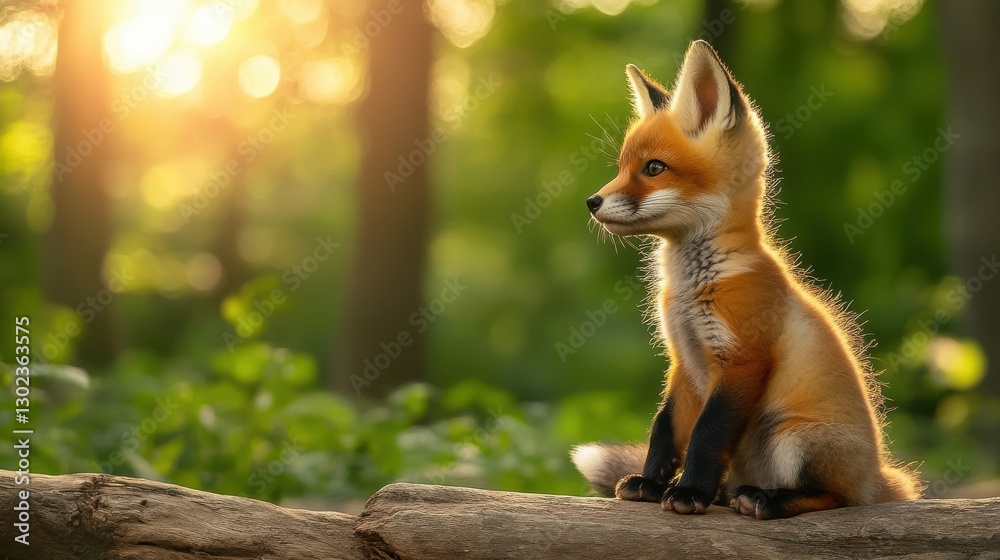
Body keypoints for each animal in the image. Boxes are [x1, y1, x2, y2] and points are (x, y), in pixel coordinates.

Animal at [572, 40, 922, 519]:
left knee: (834, 498)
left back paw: (767, 499)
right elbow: (664, 428)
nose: (592, 202)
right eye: (623, 167)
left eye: (654, 168)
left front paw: (688, 492)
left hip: (790, 435)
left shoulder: (742, 359)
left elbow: (705, 435)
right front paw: (651, 483)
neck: (694, 286)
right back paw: (726, 493)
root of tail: (877, 477)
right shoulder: (683, 360)